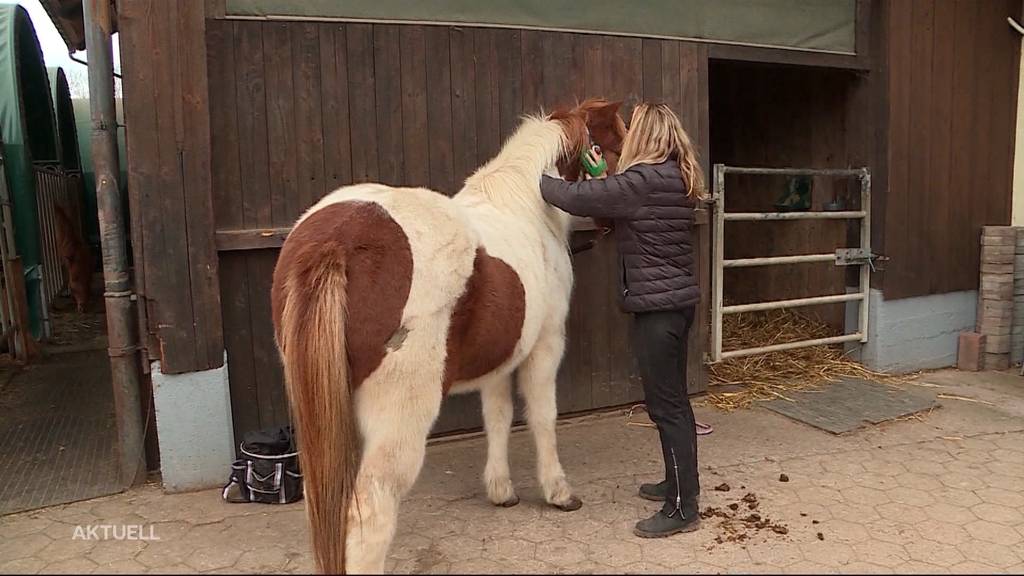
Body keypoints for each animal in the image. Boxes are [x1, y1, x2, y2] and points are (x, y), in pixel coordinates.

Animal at [268, 97, 626, 569]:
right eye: (617, 142)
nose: (614, 221)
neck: (527, 208)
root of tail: (336, 241)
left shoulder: (500, 357)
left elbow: (497, 417)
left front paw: (501, 491)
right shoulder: (545, 347)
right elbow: (542, 417)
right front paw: (558, 492)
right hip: (399, 417)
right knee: (370, 510)